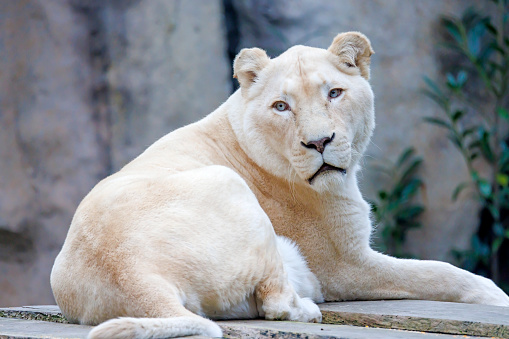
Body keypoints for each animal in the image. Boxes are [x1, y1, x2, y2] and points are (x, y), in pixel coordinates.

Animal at [48, 31, 508, 339]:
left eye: (335, 93)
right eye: (282, 106)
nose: (319, 142)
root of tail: (132, 274)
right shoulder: (346, 265)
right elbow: (441, 274)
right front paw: (497, 296)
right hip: (230, 187)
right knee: (275, 303)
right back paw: (308, 309)